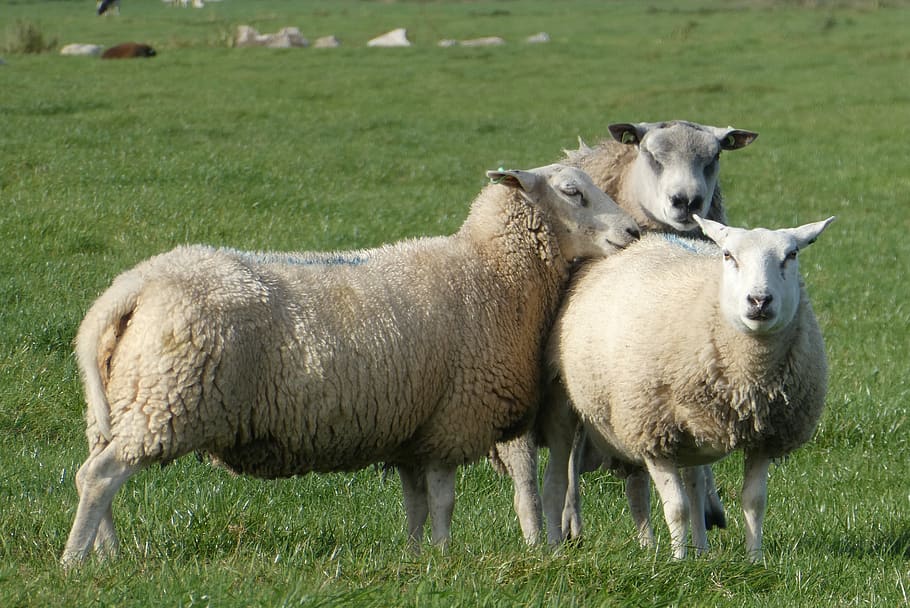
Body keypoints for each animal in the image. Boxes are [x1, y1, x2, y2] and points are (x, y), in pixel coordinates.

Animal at [59, 163, 641, 567]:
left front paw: (417, 558)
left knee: (97, 475)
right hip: (168, 399)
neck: (490, 270)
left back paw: (108, 557)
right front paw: (445, 557)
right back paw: (74, 562)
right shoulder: (452, 420)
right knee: (100, 476)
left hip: (122, 403)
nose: (633, 232)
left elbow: (415, 503)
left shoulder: (414, 431)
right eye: (572, 191)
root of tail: (134, 286)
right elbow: (444, 501)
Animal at [490, 120, 758, 545]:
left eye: (715, 156)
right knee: (532, 477)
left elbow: (671, 473)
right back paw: (544, 534)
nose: (687, 201)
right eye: (651, 154)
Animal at [546, 215, 834, 560]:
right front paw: (677, 561)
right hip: (583, 407)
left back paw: (692, 548)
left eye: (791, 255)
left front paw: (755, 560)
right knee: (578, 477)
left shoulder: (765, 436)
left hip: (686, 429)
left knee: (681, 483)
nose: (759, 300)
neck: (750, 377)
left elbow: (753, 502)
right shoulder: (653, 432)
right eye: (728, 255)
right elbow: (677, 507)